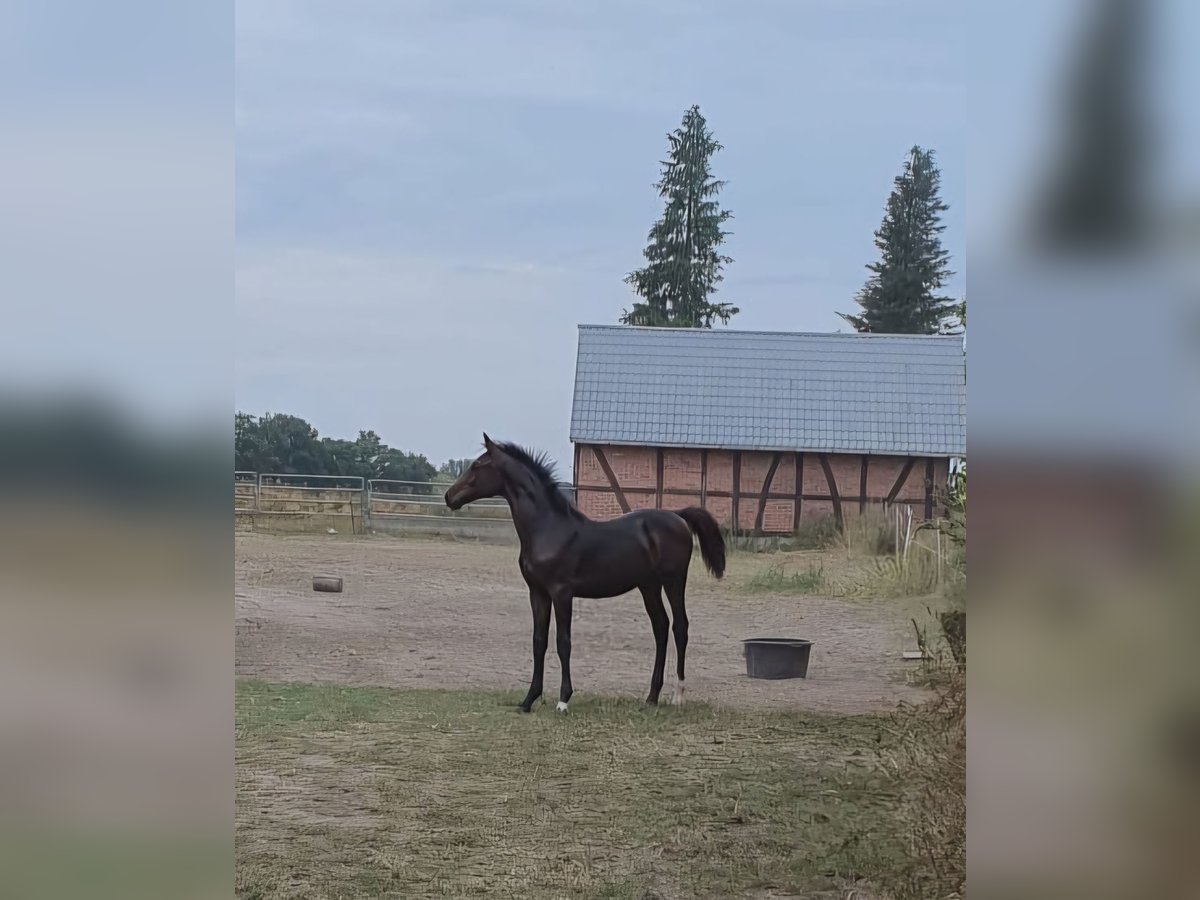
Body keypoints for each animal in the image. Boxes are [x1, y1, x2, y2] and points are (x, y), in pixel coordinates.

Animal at [441, 434, 720, 715]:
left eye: (478, 465)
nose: (448, 496)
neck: (548, 529)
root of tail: (678, 516)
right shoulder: (538, 593)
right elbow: (539, 641)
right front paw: (529, 700)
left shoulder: (562, 593)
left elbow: (563, 642)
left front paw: (563, 700)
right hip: (648, 585)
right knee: (660, 627)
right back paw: (651, 697)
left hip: (674, 580)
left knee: (679, 627)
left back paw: (678, 696)